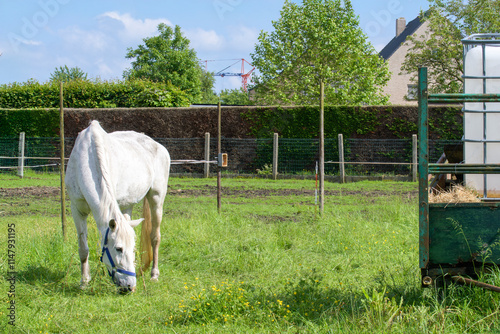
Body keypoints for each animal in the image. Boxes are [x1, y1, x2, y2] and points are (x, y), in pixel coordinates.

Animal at [65, 120, 171, 292]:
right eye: (119, 249)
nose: (130, 285)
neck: (86, 160)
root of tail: (157, 145)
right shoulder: (77, 209)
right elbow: (83, 248)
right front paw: (84, 281)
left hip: (156, 198)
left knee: (155, 237)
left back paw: (154, 274)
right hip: (128, 205)